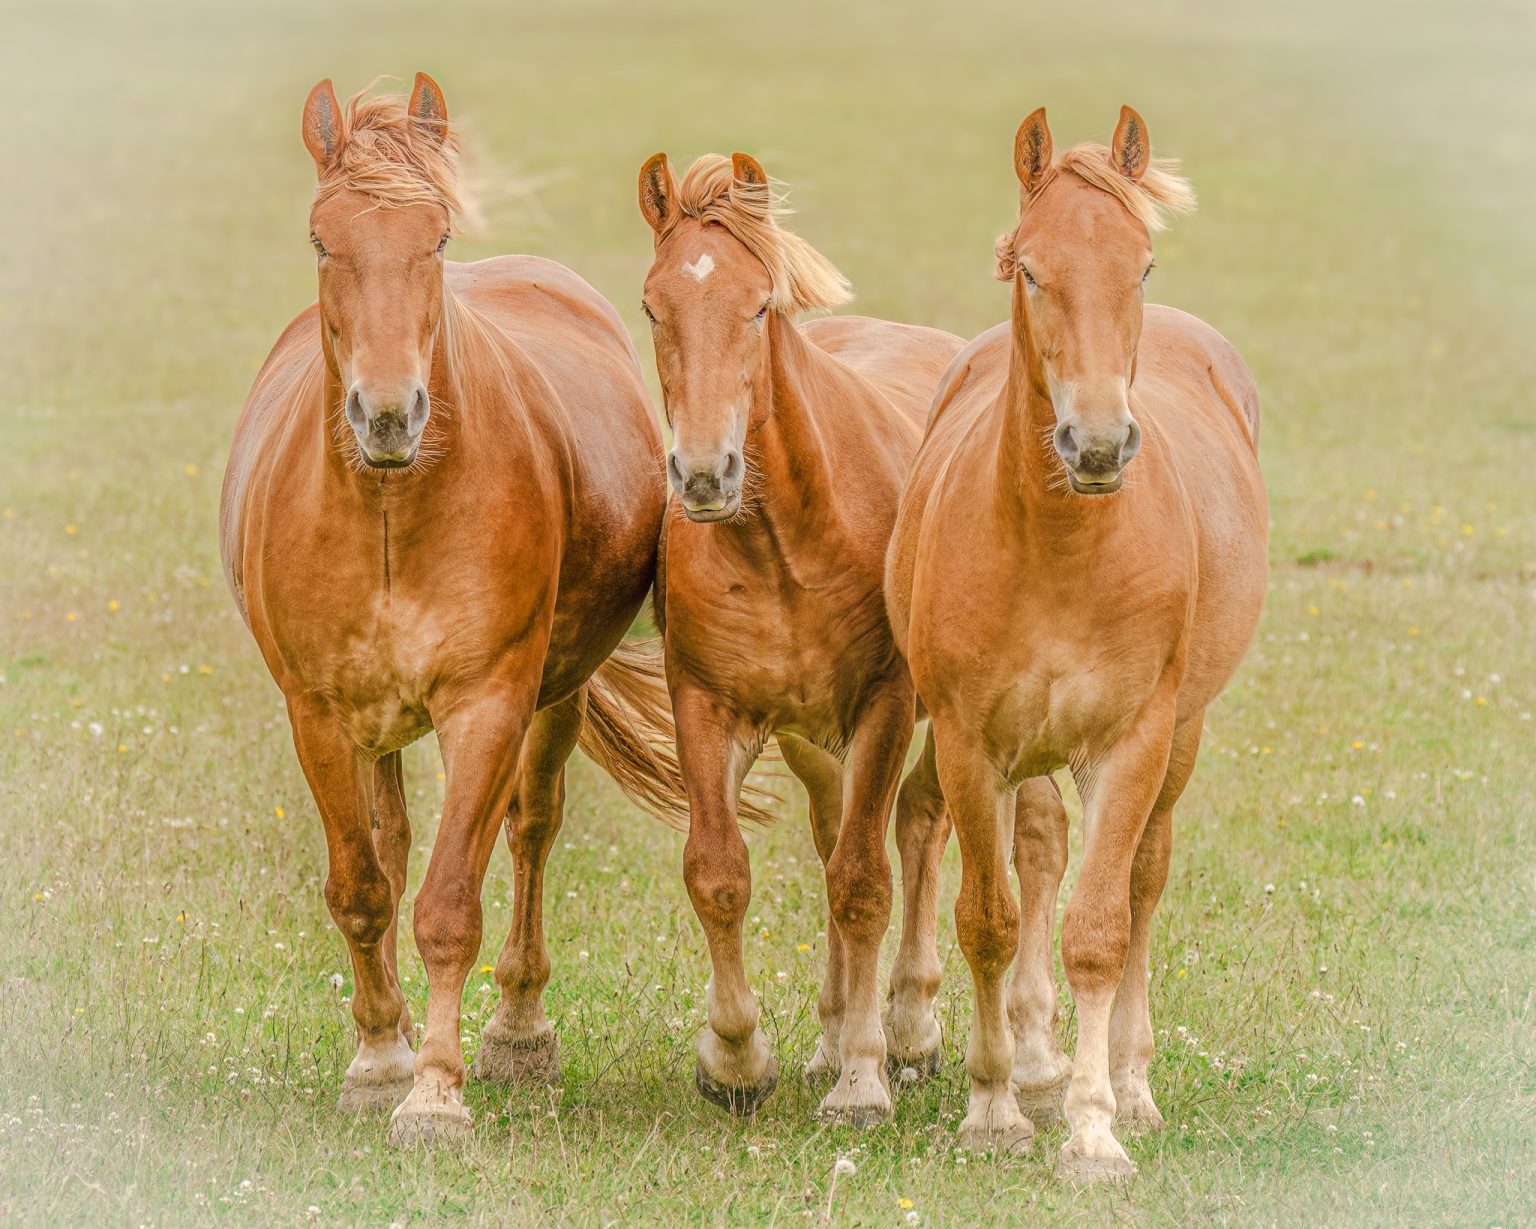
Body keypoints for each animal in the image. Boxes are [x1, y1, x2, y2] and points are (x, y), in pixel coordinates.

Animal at [219, 74, 685, 1147]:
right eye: (321, 240)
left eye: (433, 239)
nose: (390, 414)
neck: (395, 509)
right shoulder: (318, 716)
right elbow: (361, 888)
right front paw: (380, 1060)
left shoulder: (487, 704)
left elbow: (447, 907)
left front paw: (436, 1089)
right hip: (376, 725)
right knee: (389, 851)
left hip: (553, 697)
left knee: (531, 829)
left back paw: (518, 1031)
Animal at [635, 151, 984, 1124]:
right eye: (653, 305)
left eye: (759, 306)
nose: (704, 473)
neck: (784, 540)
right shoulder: (706, 705)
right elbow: (718, 871)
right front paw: (737, 1059)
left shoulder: (885, 706)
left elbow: (866, 882)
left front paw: (865, 1079)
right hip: (811, 741)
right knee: (838, 835)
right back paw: (833, 1032)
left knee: (918, 826)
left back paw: (907, 1028)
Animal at [886, 107, 1268, 1178]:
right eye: (1029, 269)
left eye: (1141, 266)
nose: (1096, 444)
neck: (1059, 548)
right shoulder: (972, 742)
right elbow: (988, 915)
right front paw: (994, 1105)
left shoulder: (1130, 742)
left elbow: (1100, 925)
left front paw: (1094, 1127)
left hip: (1178, 741)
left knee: (1140, 882)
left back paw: (1129, 1084)